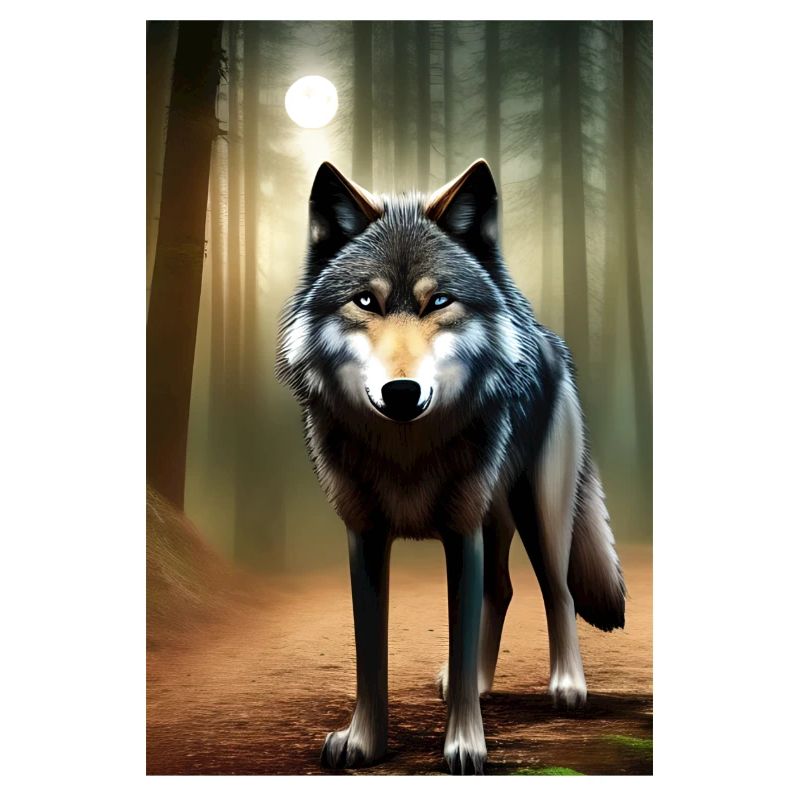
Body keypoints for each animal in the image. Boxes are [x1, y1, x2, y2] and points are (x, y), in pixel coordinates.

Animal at [276, 159, 626, 775]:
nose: (401, 392)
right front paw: (364, 743)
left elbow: (461, 640)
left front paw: (465, 746)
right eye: (365, 301)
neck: (406, 451)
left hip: (538, 512)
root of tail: (548, 337)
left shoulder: (461, 533)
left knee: (557, 591)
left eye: (438, 301)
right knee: (502, 591)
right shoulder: (365, 536)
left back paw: (567, 686)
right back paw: (488, 684)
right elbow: (371, 652)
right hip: (495, 518)